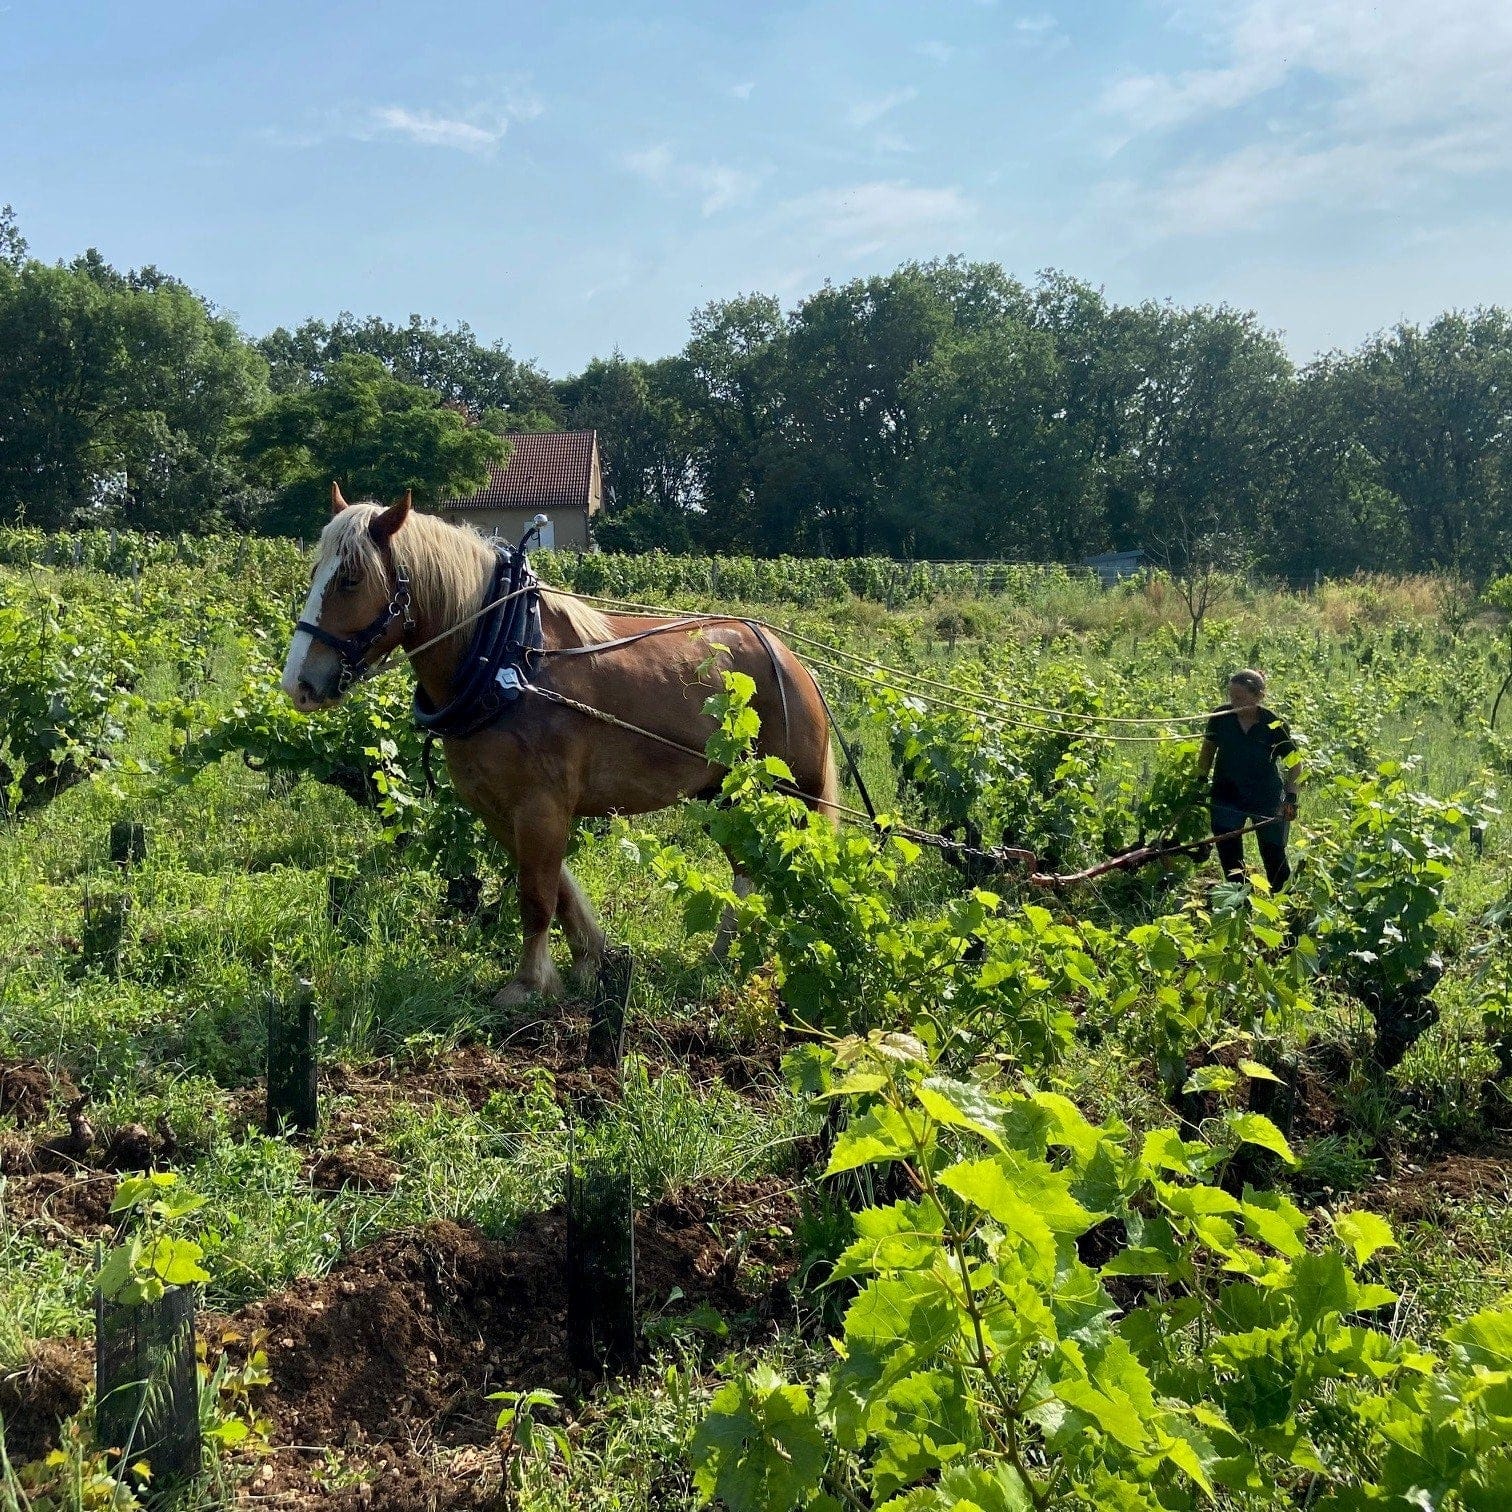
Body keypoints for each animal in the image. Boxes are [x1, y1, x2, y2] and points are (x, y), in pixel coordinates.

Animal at [278, 483, 834, 1003]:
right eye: (314, 573)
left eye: (351, 578)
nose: (297, 685)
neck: (507, 656)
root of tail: (789, 658)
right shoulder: (495, 806)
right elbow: (558, 888)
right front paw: (592, 960)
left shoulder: (541, 803)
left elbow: (537, 895)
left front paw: (528, 984)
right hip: (725, 796)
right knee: (747, 868)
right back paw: (721, 956)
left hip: (787, 794)